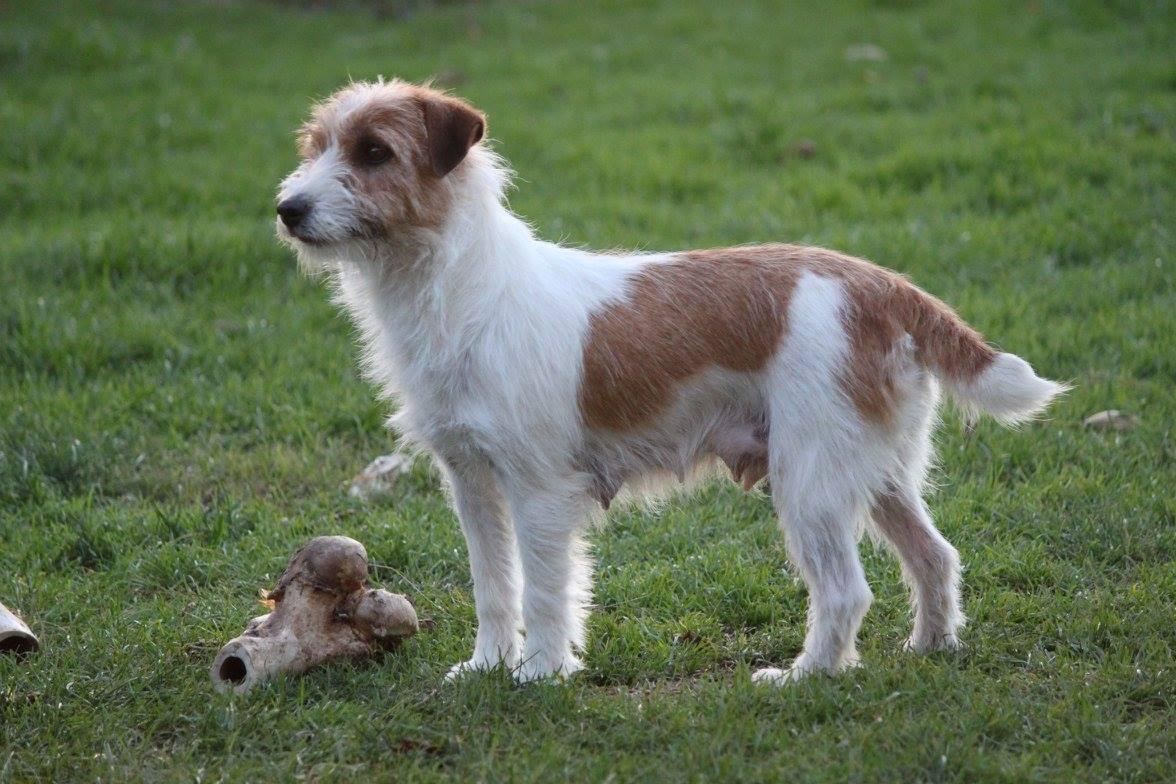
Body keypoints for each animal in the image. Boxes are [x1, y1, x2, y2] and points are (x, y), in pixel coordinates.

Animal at [275, 79, 1067, 686]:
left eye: (374, 152)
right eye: (314, 146)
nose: (288, 208)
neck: (466, 290)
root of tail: (883, 285)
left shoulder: (539, 492)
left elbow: (546, 591)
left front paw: (538, 675)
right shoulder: (472, 484)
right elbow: (494, 586)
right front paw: (484, 668)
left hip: (811, 482)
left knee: (845, 591)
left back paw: (805, 676)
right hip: (876, 474)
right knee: (934, 556)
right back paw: (930, 646)